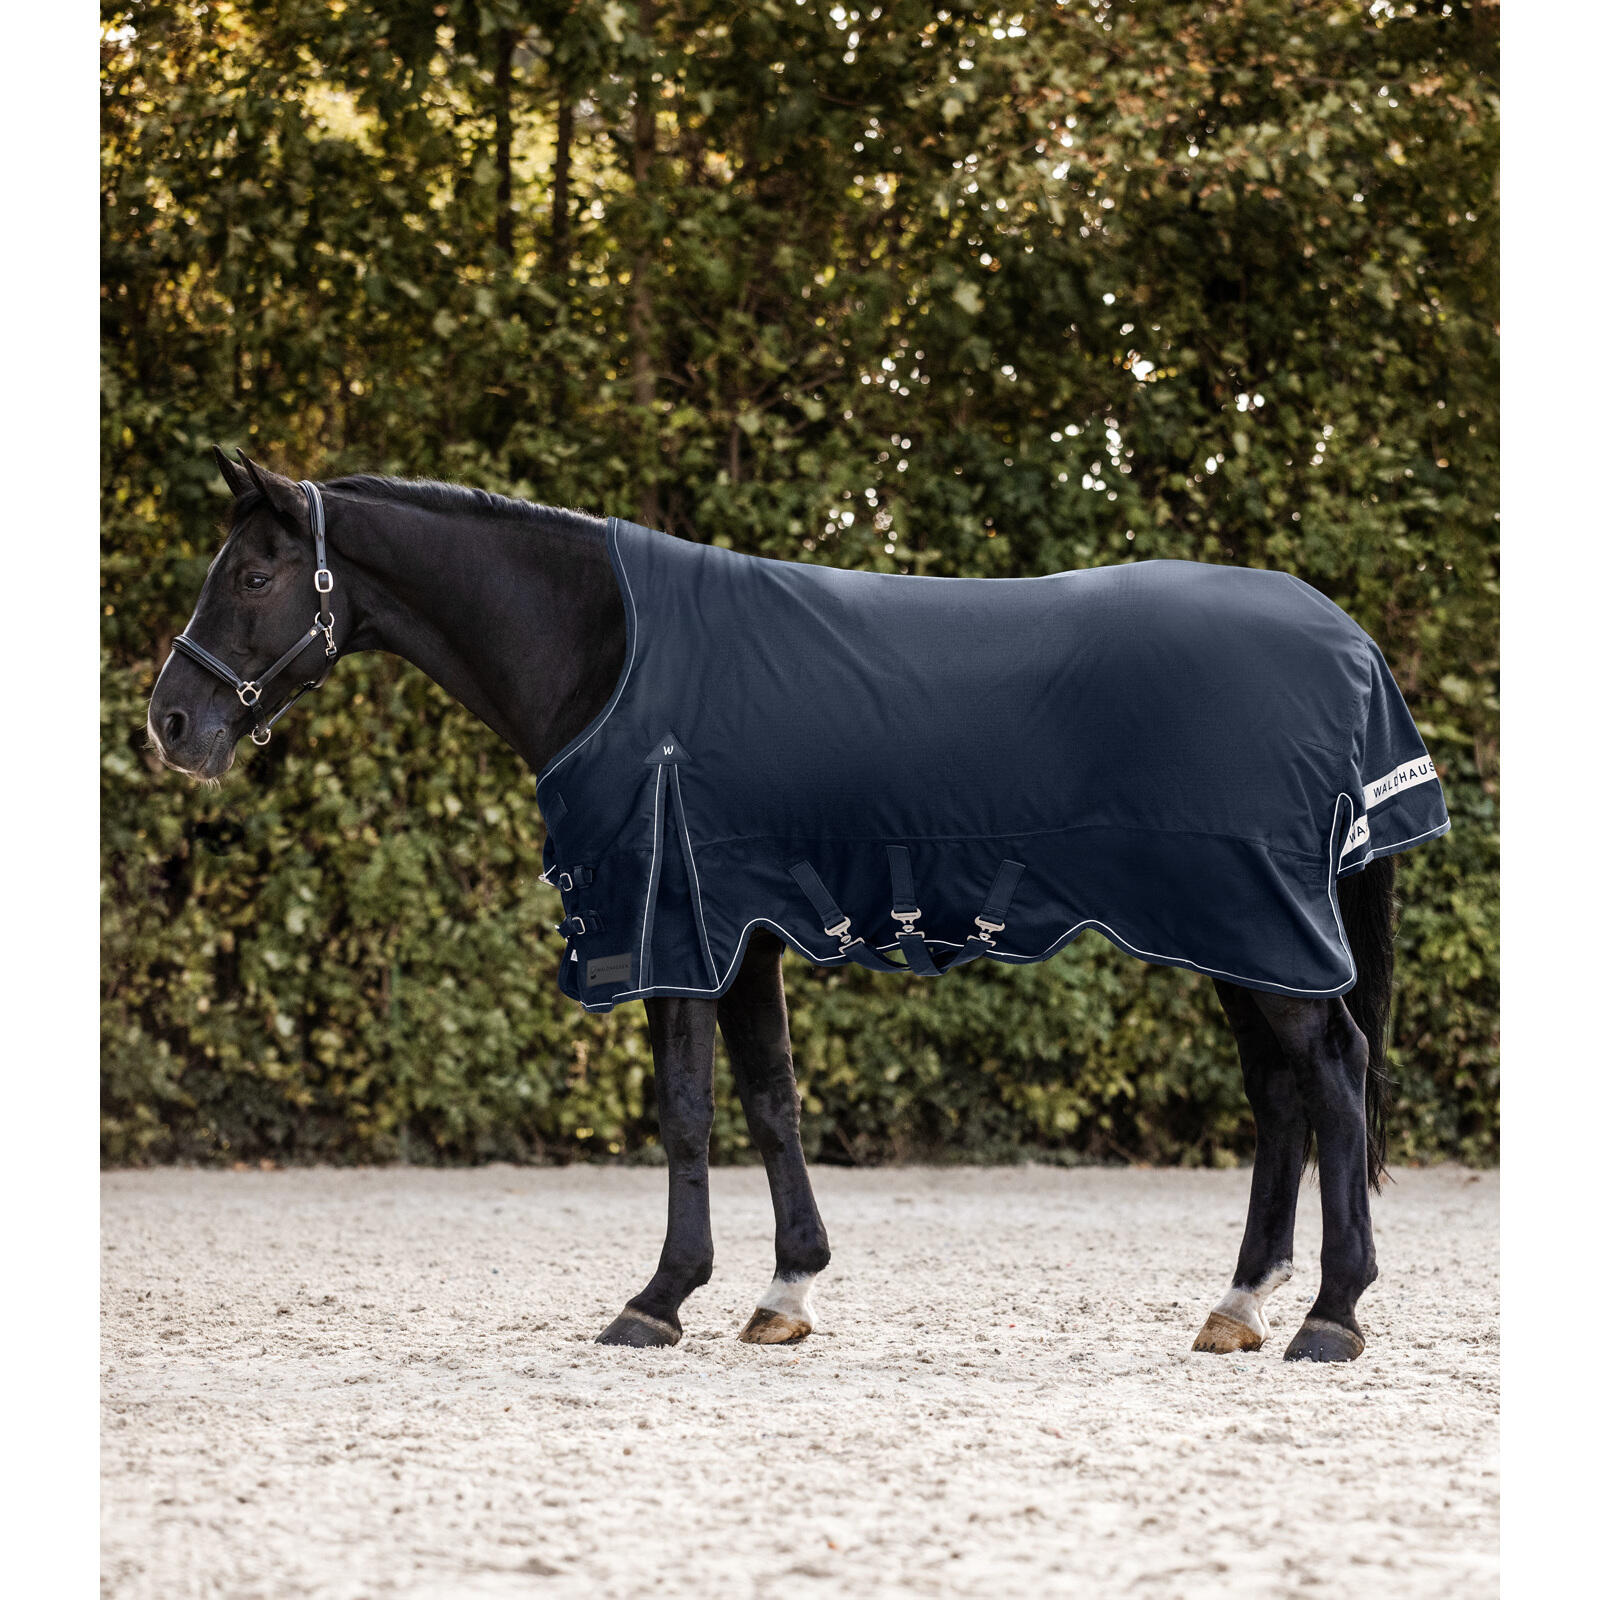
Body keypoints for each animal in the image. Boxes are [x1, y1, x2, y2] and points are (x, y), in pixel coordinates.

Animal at [146, 450, 1442, 1363]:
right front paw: (784, 1288)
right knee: (1280, 1093)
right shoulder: (744, 936)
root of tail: (1344, 640)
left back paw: (1331, 1313)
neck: (611, 654)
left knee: (1331, 1070)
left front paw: (659, 1298)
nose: (171, 722)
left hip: (1255, 920)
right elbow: (770, 1102)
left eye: (253, 575)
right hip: (1238, 933)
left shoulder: (677, 929)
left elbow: (685, 1111)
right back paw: (1241, 1303)